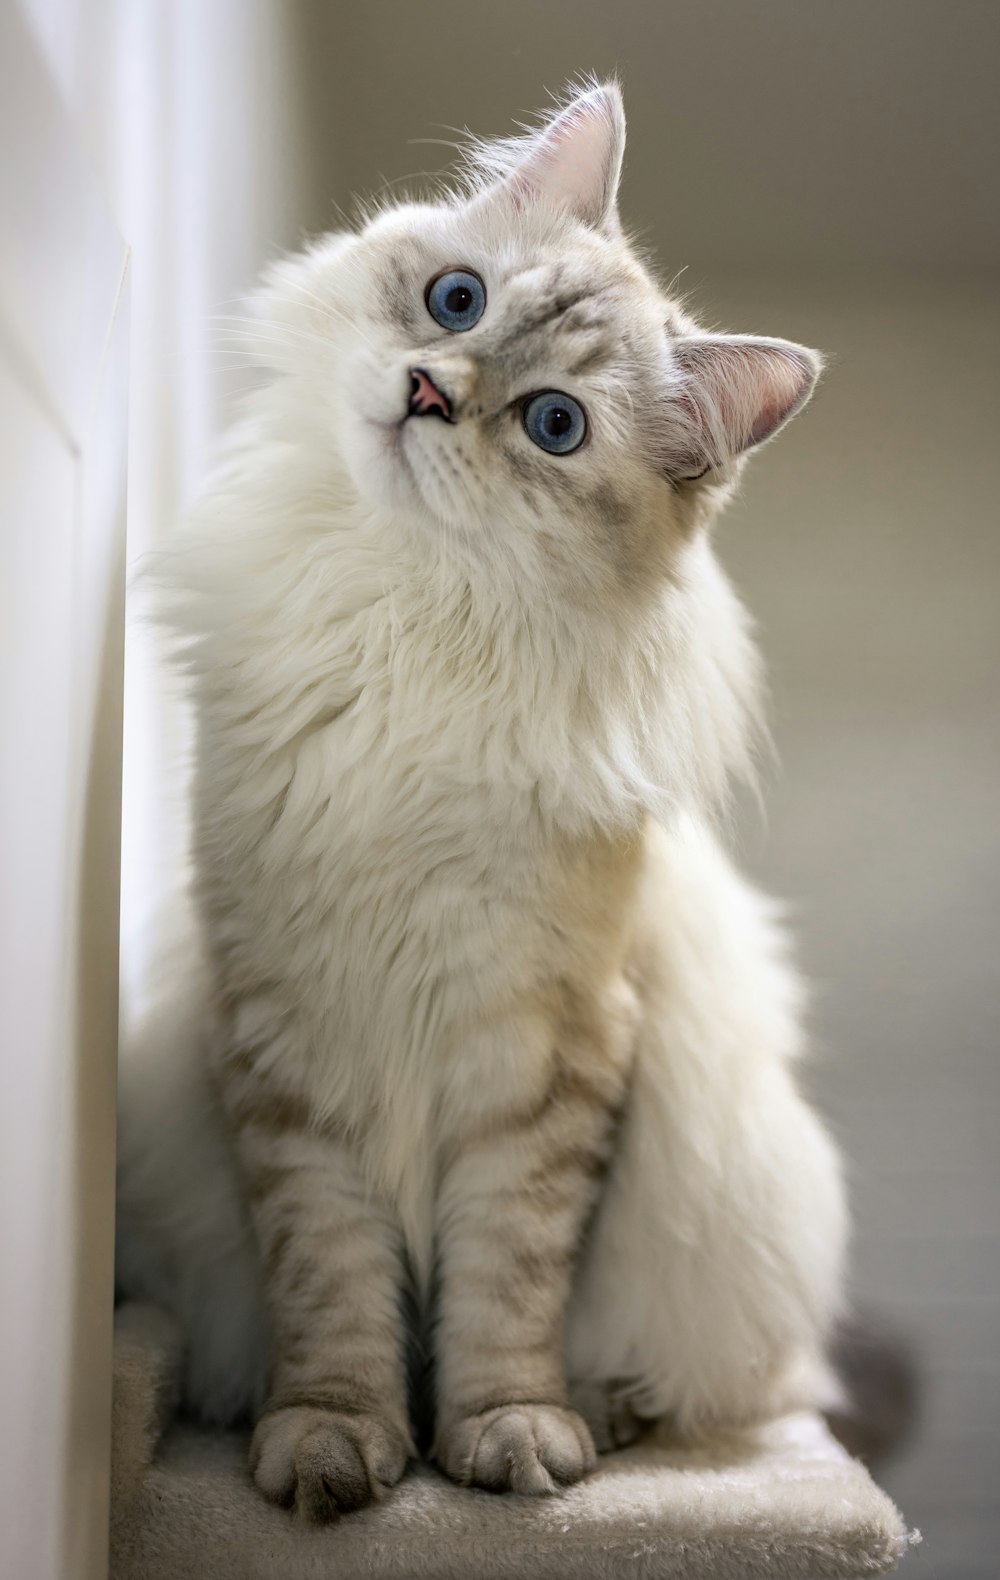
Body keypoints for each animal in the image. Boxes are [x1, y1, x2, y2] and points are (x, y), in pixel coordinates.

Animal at [119, 80, 853, 1510]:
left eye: (553, 424)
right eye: (454, 301)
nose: (426, 389)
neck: (407, 624)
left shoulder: (545, 1058)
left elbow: (506, 1293)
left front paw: (505, 1441)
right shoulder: (291, 1040)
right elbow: (333, 1293)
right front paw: (335, 1447)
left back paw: (605, 1417)